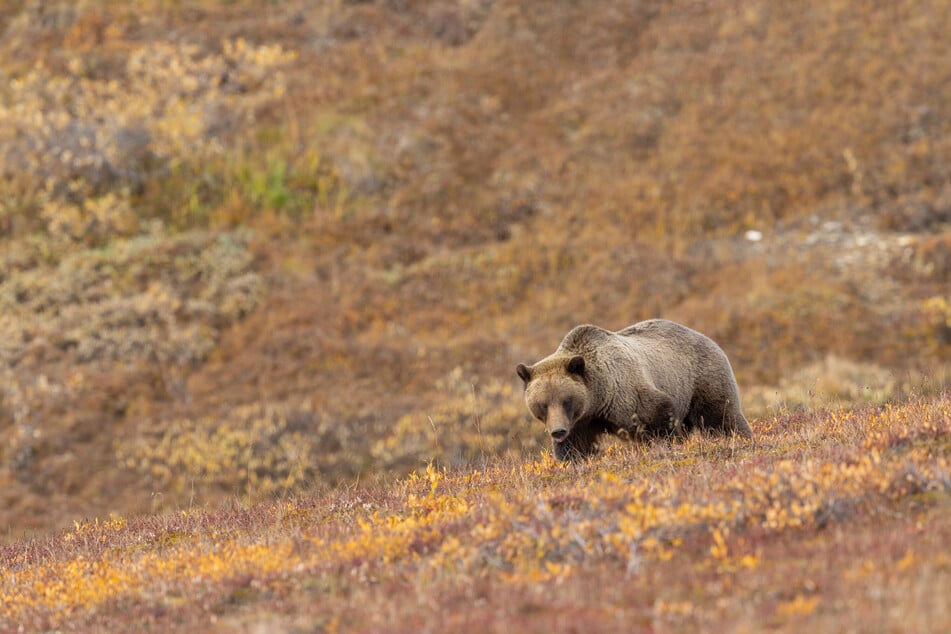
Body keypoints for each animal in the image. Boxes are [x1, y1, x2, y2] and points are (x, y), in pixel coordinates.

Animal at [516, 320, 756, 460]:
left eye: (566, 400)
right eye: (542, 405)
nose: (557, 431)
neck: (598, 398)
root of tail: (709, 339)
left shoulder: (626, 394)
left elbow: (657, 418)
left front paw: (666, 447)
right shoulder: (581, 421)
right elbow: (576, 446)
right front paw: (573, 459)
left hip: (700, 379)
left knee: (721, 416)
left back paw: (741, 439)